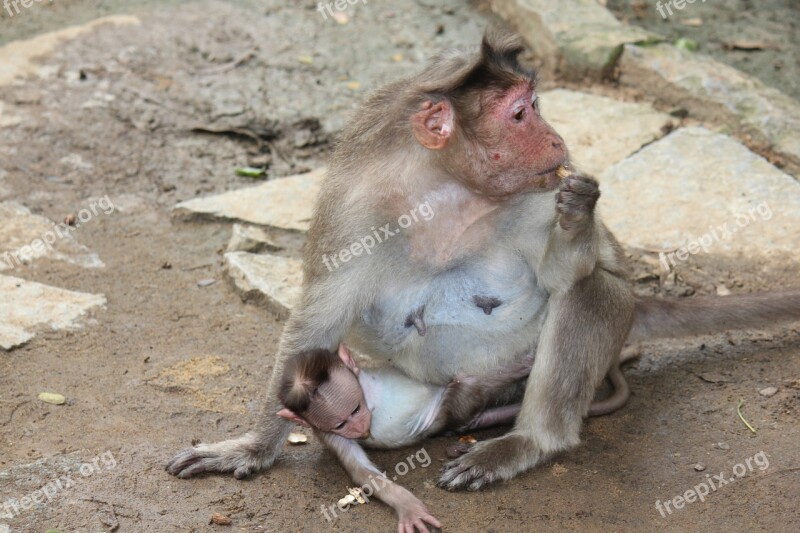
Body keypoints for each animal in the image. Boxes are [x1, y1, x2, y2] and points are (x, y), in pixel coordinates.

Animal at [169, 30, 800, 490]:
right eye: (521, 114)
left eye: (535, 106)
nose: (558, 141)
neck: (444, 188)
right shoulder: (353, 211)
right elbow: (315, 323)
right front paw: (252, 448)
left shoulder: (534, 196)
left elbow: (576, 274)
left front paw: (579, 215)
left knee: (596, 292)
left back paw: (529, 440)